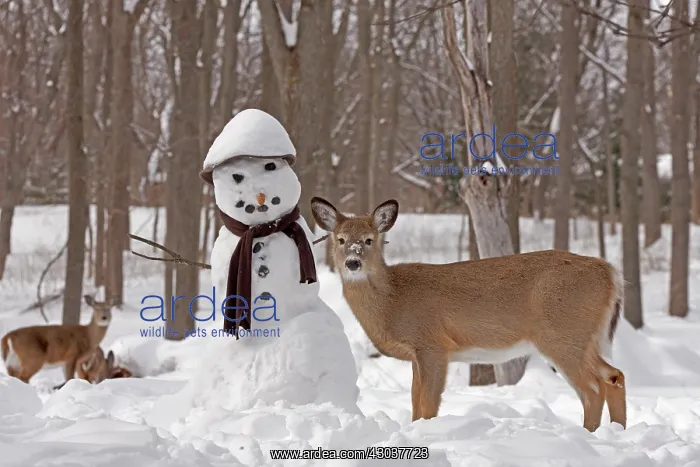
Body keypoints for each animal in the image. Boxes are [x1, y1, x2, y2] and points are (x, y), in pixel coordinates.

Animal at [310, 197, 627, 433]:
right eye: (340, 239)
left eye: (368, 239)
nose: (353, 263)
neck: (393, 301)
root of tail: (610, 273)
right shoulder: (417, 355)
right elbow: (414, 403)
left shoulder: (433, 344)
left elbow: (427, 405)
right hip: (584, 338)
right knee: (614, 376)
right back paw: (616, 432)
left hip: (562, 334)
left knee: (593, 389)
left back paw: (590, 434)